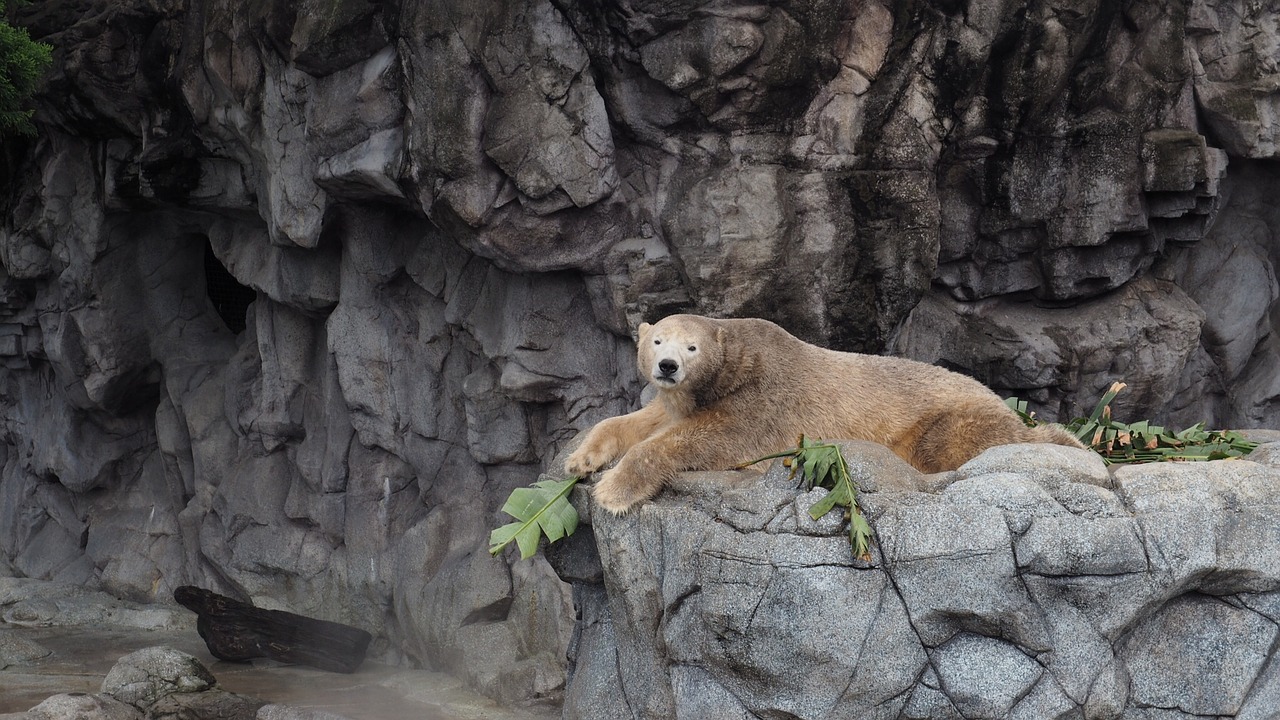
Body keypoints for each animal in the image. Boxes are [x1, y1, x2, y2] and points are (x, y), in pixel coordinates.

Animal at [565, 312, 1085, 509]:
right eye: (656, 341)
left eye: (690, 347)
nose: (668, 366)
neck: (735, 363)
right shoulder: (677, 399)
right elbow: (635, 421)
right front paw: (580, 459)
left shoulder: (764, 399)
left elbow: (712, 438)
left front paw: (612, 490)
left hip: (951, 418)